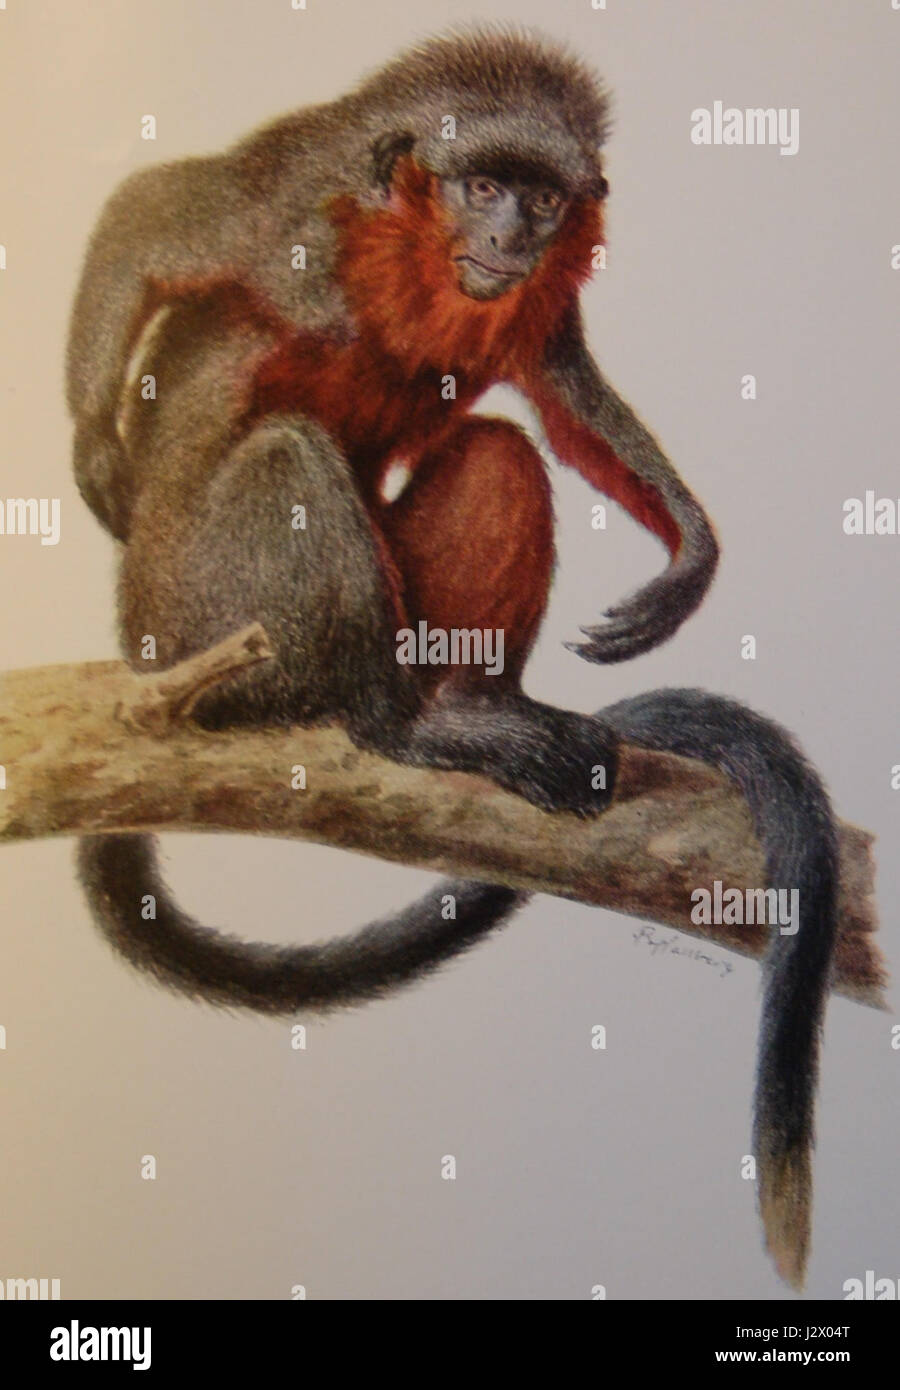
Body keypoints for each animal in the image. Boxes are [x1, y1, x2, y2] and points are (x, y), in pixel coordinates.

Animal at [68, 30, 838, 1289]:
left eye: (541, 198)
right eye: (482, 186)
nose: (514, 234)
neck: (414, 257)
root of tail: (137, 641)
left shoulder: (528, 295)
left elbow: (557, 382)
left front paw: (690, 544)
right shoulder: (298, 217)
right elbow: (160, 210)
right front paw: (93, 439)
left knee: (496, 451)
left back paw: (475, 706)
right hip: (200, 617)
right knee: (288, 457)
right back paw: (397, 724)